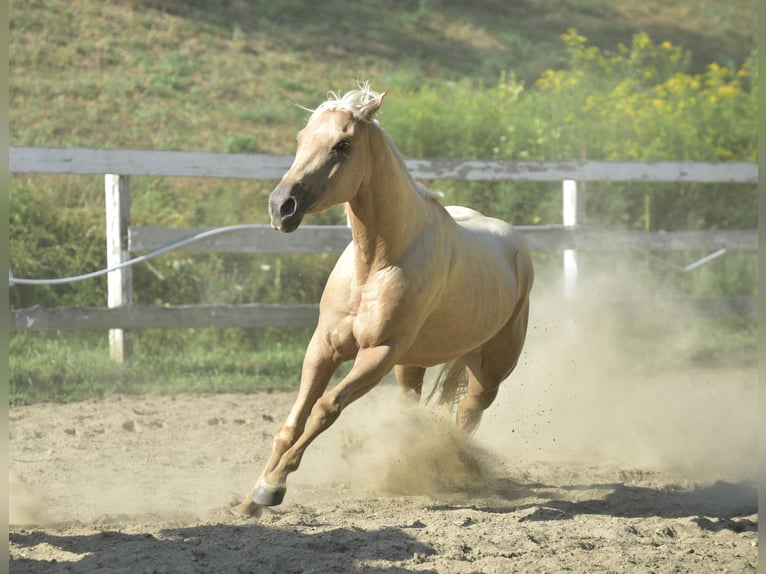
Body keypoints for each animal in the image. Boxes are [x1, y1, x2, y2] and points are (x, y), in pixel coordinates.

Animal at [233, 84, 534, 516]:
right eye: (302, 139)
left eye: (343, 145)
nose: (280, 207)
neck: (376, 264)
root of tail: (517, 245)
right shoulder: (323, 346)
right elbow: (294, 419)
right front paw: (250, 499)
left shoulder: (378, 353)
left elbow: (325, 408)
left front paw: (272, 488)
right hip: (411, 365)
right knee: (412, 409)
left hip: (488, 372)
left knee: (467, 415)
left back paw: (458, 472)